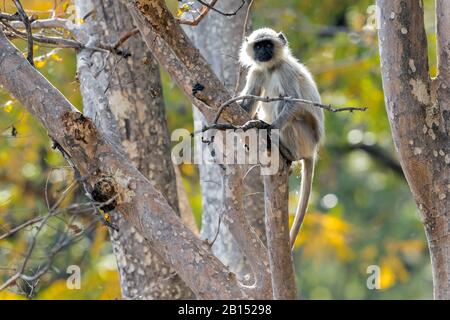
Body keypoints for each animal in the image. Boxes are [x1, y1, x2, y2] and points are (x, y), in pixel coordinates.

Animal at [239, 27, 324, 249]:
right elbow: (246, 105)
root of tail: (312, 150)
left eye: (268, 44)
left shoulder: (285, 70)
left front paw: (266, 127)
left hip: (305, 136)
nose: (263, 52)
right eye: (258, 46)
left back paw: (285, 150)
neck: (271, 68)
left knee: (283, 103)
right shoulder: (257, 71)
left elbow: (293, 102)